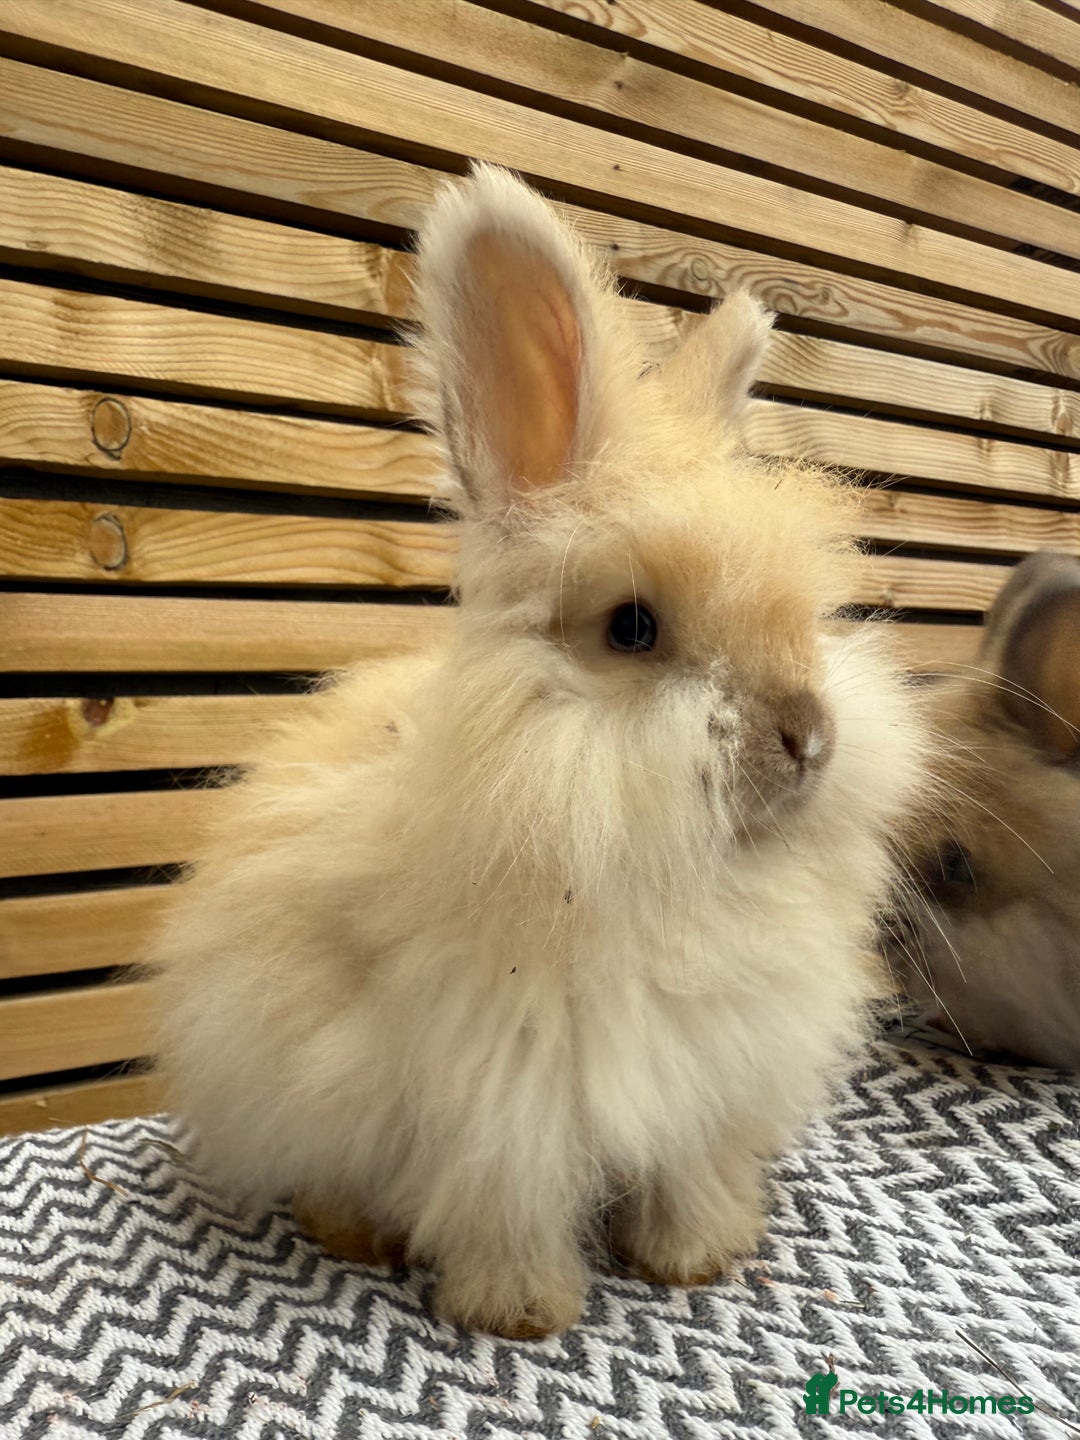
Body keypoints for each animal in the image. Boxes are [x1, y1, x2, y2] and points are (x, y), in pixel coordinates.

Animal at [151, 164, 931, 1339]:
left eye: (809, 617)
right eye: (633, 629)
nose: (809, 736)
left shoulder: (708, 1083)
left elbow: (687, 1176)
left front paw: (698, 1258)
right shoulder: (498, 1106)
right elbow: (505, 1205)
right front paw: (519, 1311)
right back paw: (353, 1231)